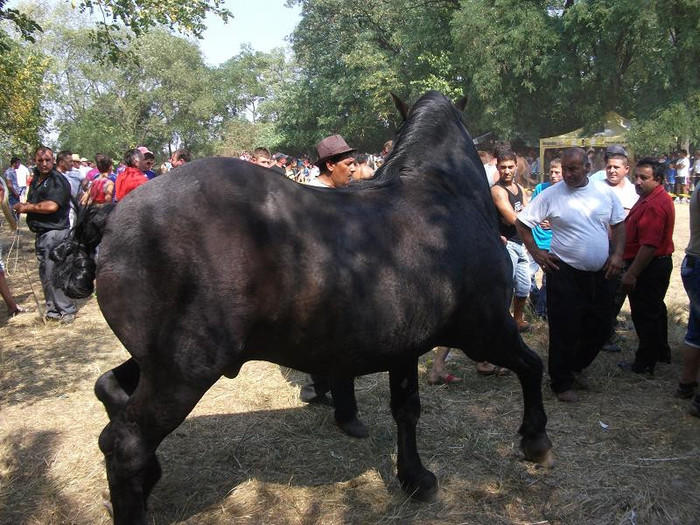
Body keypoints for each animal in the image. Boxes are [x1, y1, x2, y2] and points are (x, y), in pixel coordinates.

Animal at [53, 91, 552, 524]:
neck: (442, 199)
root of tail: (115, 214)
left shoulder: (404, 347)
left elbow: (407, 408)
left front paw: (415, 478)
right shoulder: (486, 329)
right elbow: (532, 365)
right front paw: (536, 439)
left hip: (156, 362)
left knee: (108, 391)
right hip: (184, 370)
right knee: (126, 443)